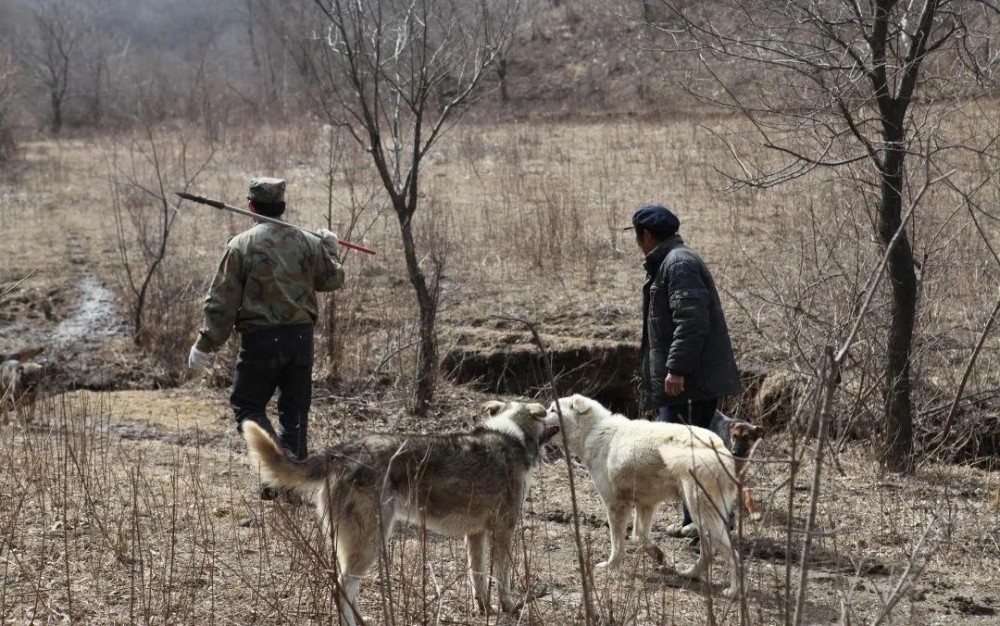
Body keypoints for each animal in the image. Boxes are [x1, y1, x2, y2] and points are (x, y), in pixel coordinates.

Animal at [240, 400, 556, 624]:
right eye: (549, 410)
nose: (557, 410)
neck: (511, 435)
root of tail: (340, 452)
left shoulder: (475, 535)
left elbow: (477, 578)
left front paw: (484, 609)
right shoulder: (504, 530)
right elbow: (503, 579)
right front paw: (509, 608)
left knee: (344, 587)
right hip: (371, 542)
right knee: (341, 588)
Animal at [544, 394, 740, 596]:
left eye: (552, 410)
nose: (538, 416)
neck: (593, 431)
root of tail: (721, 449)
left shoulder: (616, 505)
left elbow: (617, 543)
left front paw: (611, 566)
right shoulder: (645, 504)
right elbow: (638, 536)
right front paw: (658, 554)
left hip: (702, 514)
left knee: (732, 554)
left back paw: (733, 591)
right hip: (702, 518)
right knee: (709, 552)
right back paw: (690, 574)